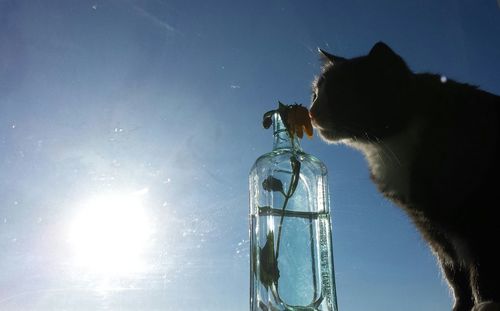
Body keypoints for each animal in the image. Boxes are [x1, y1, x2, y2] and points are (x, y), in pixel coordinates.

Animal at [310, 42, 500, 311]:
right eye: (315, 94)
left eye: (340, 92)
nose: (311, 112)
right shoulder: (430, 227)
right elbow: (455, 273)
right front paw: (461, 306)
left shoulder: (480, 217)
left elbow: (481, 270)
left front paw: (485, 303)